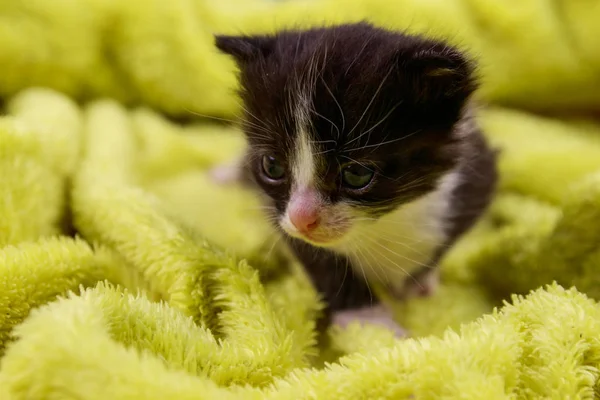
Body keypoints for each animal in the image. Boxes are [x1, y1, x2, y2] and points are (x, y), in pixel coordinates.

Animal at [213, 21, 494, 334]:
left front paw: (419, 280)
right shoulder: (279, 213)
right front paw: (370, 320)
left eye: (357, 174)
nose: (301, 219)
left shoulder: (476, 180)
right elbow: (320, 258)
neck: (382, 223)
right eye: (272, 166)